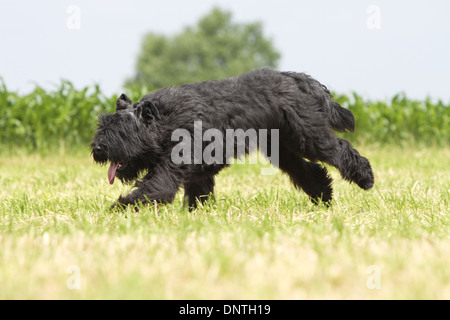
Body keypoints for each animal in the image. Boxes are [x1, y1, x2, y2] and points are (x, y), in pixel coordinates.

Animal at [90, 69, 372, 209]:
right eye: (102, 124)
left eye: (122, 131)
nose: (98, 148)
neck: (165, 121)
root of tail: (298, 78)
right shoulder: (198, 172)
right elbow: (197, 194)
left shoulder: (169, 169)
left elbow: (154, 189)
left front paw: (120, 208)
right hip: (283, 150)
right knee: (309, 171)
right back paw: (324, 196)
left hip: (309, 137)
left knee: (340, 150)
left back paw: (365, 178)